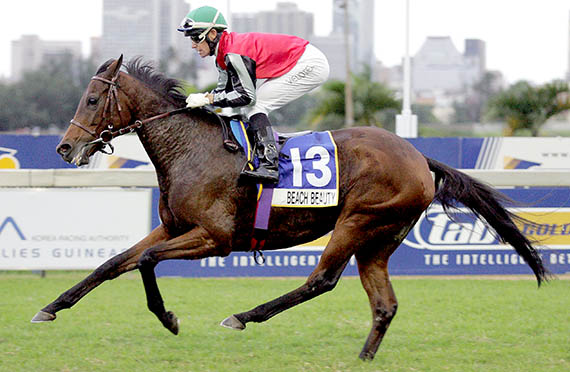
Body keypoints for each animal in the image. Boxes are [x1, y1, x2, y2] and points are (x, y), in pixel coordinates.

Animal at [33, 55, 548, 360]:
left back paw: (243, 316)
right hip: (380, 240)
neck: (191, 149)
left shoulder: (215, 238)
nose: (64, 148)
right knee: (384, 305)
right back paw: (361, 360)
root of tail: (419, 157)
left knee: (321, 280)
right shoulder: (174, 227)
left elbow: (144, 261)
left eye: (93, 98)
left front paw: (169, 318)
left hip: (358, 221)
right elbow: (113, 262)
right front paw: (51, 308)